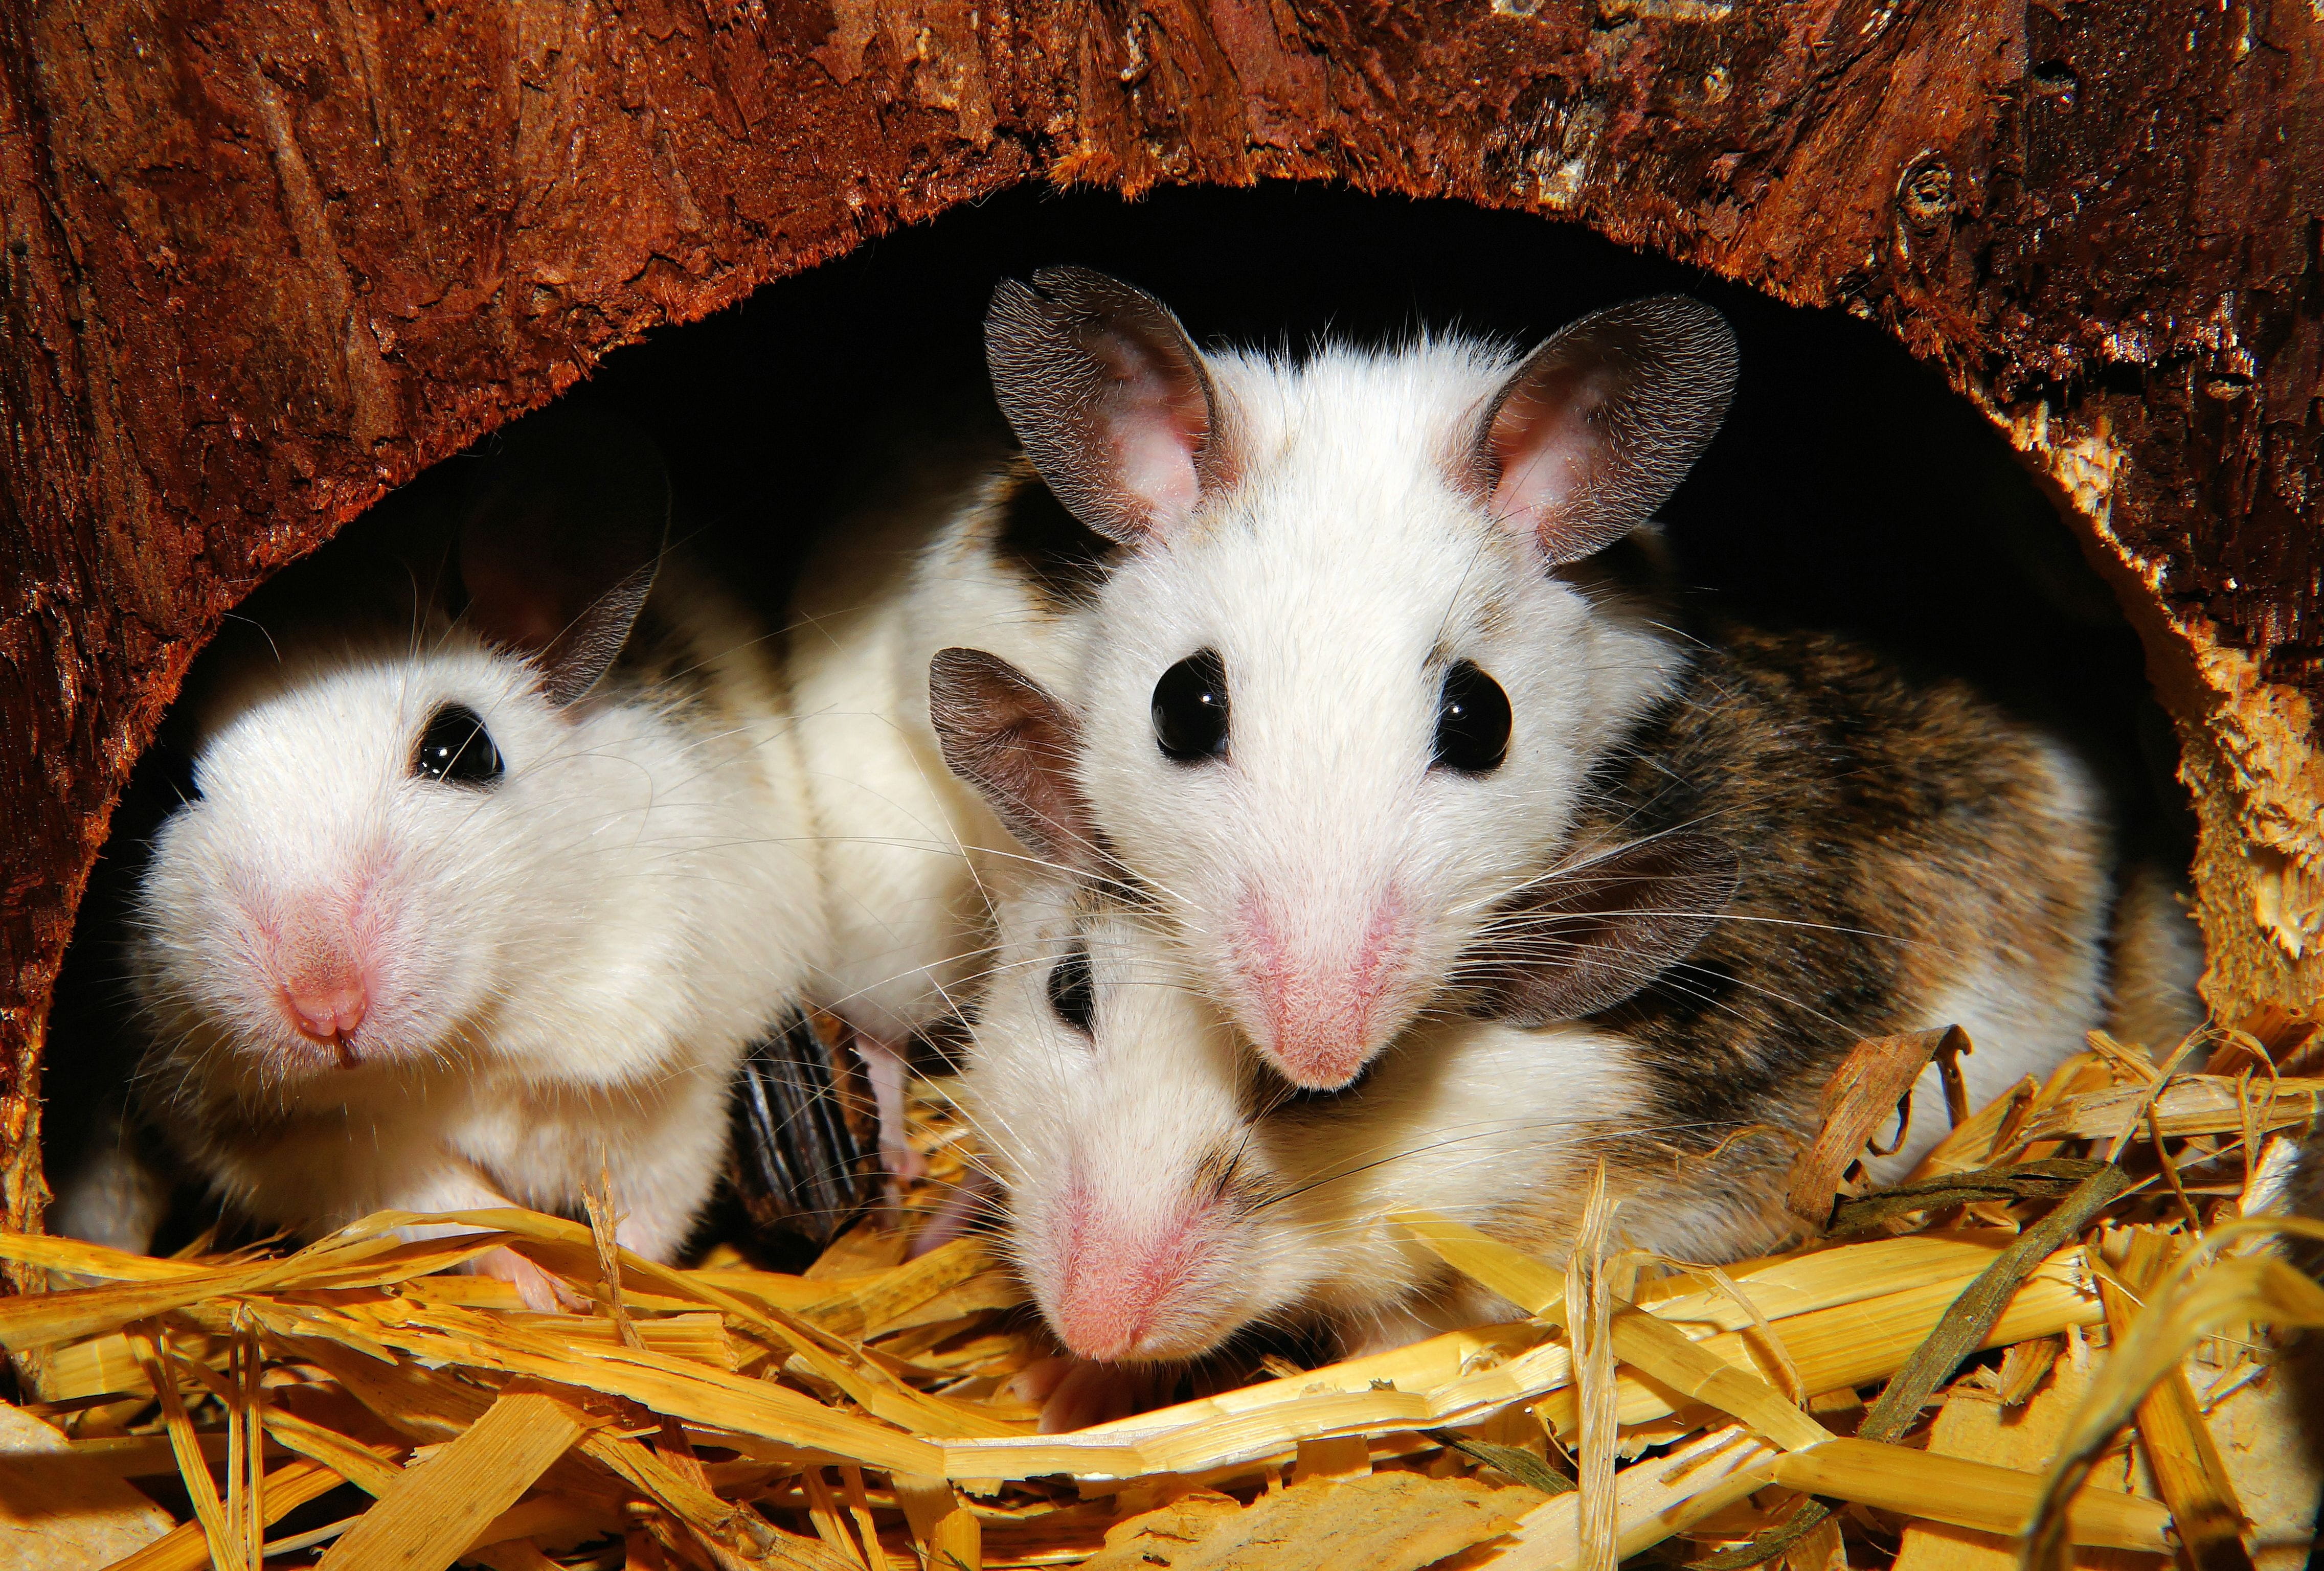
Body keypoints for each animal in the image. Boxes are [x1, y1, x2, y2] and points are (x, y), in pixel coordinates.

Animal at [77, 409, 829, 1307]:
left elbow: (650, 1209)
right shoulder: (326, 1152)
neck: (470, 1041)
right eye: (167, 790)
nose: (325, 1010)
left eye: (463, 749)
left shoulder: (671, 1082)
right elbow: (458, 1212)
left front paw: (603, 1298)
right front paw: (546, 1292)